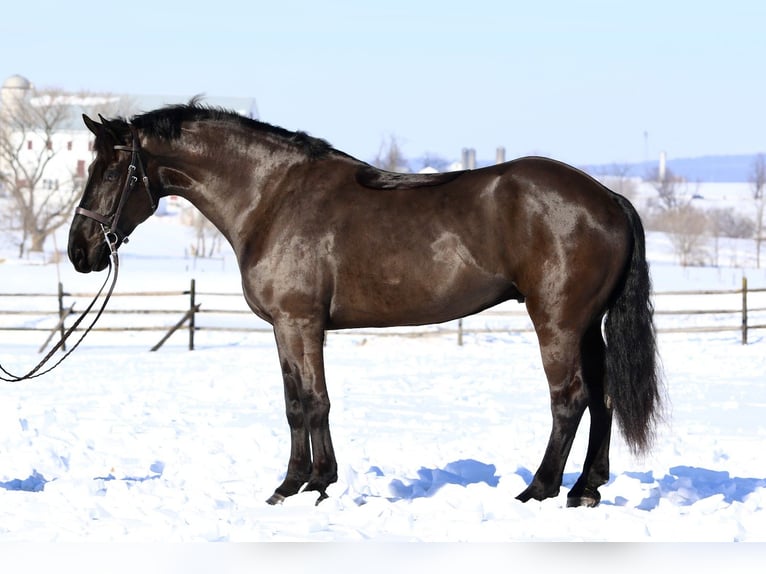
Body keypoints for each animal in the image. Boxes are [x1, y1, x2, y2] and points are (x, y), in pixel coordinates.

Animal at [67, 102, 661, 508]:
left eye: (111, 171)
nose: (80, 251)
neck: (272, 197)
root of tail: (608, 197)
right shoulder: (286, 329)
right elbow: (296, 403)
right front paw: (298, 483)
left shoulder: (299, 323)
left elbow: (312, 402)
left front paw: (310, 484)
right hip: (586, 325)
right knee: (603, 397)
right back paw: (585, 489)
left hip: (557, 323)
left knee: (570, 399)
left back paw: (537, 489)